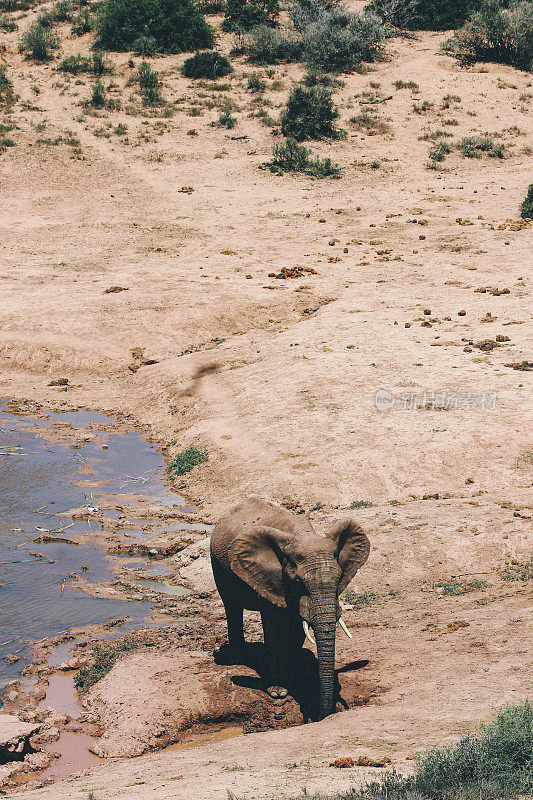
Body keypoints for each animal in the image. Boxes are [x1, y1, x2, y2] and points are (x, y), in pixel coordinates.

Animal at [209, 496, 370, 720]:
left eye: (339, 579)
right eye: (298, 582)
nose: (323, 715)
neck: (301, 535)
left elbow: (299, 626)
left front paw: (297, 678)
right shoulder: (271, 577)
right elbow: (275, 628)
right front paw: (279, 692)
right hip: (217, 563)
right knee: (231, 606)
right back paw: (237, 657)